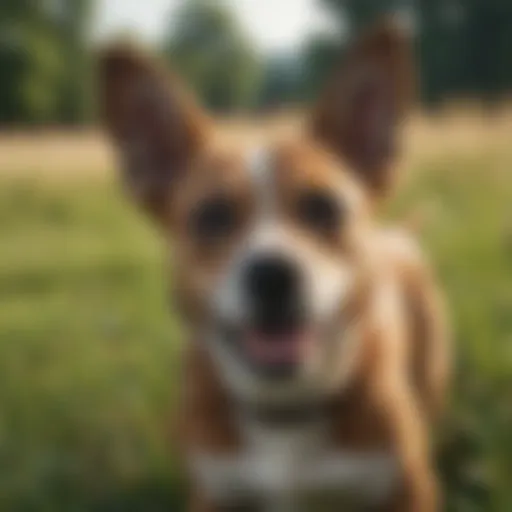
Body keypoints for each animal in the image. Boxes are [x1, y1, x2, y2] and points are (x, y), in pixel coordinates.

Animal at [99, 18, 448, 510]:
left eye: (323, 207)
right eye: (211, 216)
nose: (273, 275)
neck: (284, 412)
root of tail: (397, 236)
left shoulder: (407, 487)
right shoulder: (215, 490)